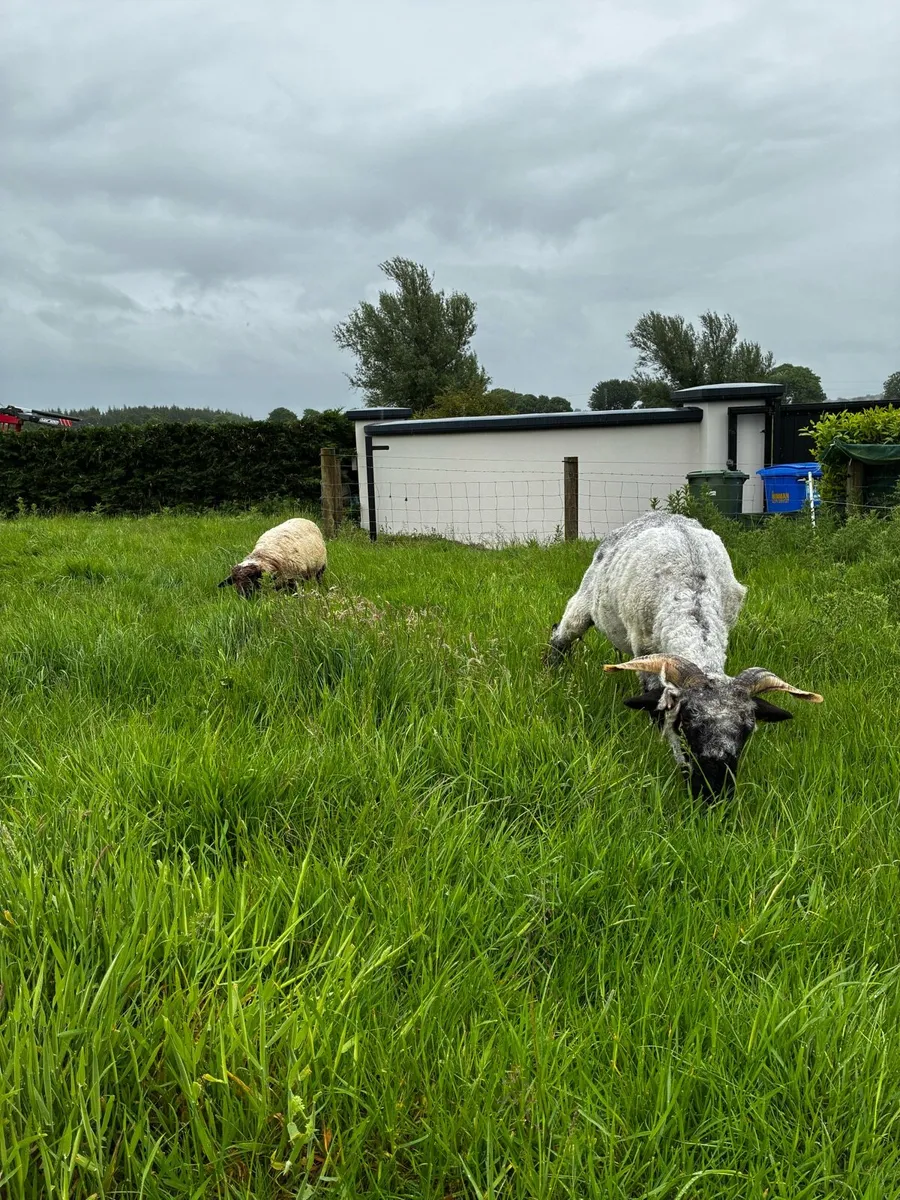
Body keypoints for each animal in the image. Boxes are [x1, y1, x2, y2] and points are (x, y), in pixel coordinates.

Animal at [547, 512, 822, 801]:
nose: (714, 793)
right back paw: (552, 674)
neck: (692, 596)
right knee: (560, 635)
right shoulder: (645, 650)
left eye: (747, 729)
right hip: (585, 601)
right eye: (687, 720)